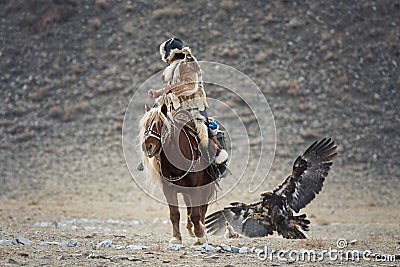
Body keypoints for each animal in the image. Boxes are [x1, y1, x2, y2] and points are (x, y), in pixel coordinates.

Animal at [139, 101, 217, 246]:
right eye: (145, 124)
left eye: (160, 124)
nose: (147, 146)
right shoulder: (169, 189)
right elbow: (174, 214)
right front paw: (176, 238)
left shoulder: (196, 188)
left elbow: (196, 214)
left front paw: (200, 235)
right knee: (189, 207)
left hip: (206, 187)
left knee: (202, 209)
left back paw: (201, 233)